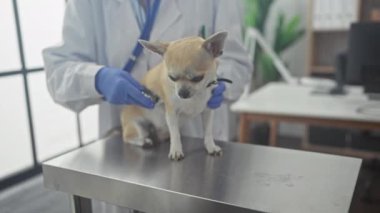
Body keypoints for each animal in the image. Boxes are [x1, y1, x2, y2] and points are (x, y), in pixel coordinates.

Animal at [120, 30, 227, 159]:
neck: (196, 96)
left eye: (197, 78)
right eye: (172, 77)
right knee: (127, 137)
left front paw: (211, 147)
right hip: (135, 126)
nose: (182, 93)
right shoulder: (171, 113)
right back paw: (145, 141)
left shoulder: (208, 111)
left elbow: (208, 131)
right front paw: (176, 150)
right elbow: (175, 134)